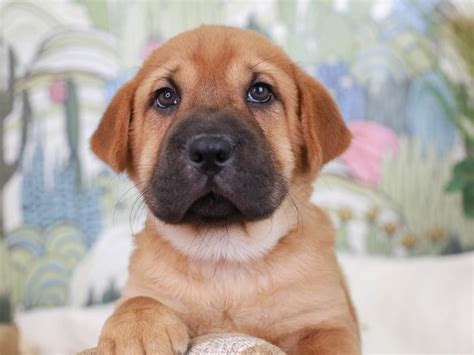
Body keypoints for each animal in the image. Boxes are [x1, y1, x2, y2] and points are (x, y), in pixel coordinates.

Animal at [90, 25, 360, 355]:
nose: (209, 150)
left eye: (260, 92)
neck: (225, 257)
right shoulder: (145, 286)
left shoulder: (327, 323)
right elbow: (138, 300)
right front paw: (136, 327)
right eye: (165, 96)